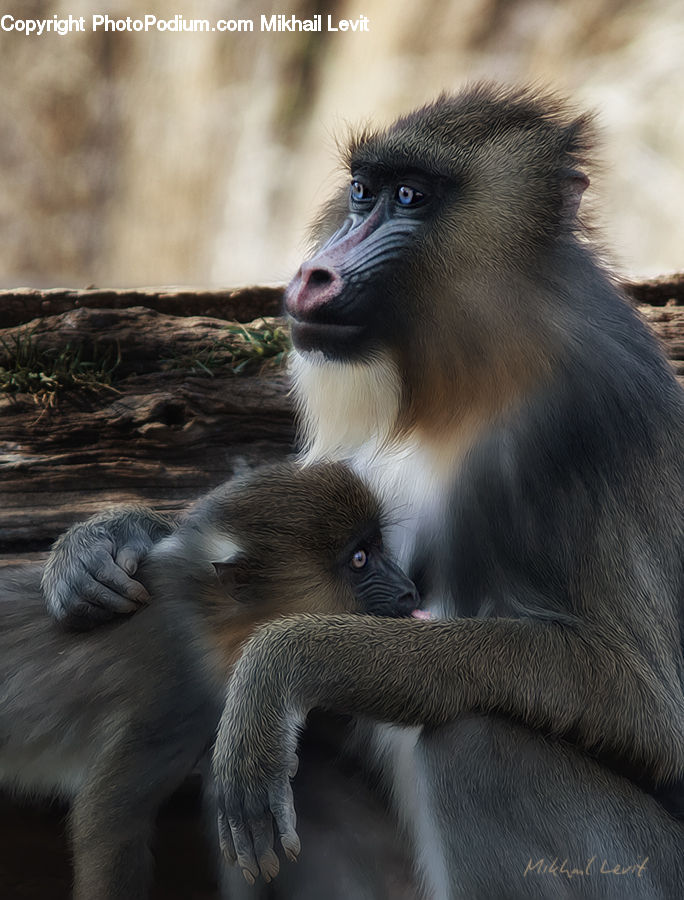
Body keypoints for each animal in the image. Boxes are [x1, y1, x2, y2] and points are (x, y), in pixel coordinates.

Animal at [0, 461, 419, 900]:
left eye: (377, 547)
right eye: (359, 559)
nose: (409, 591)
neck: (206, 616)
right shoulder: (176, 698)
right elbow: (107, 823)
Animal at [41, 85, 684, 898]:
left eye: (410, 197)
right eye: (360, 190)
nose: (314, 273)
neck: (463, 384)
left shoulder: (587, 423)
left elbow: (646, 705)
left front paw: (282, 664)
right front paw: (105, 543)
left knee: (476, 741)